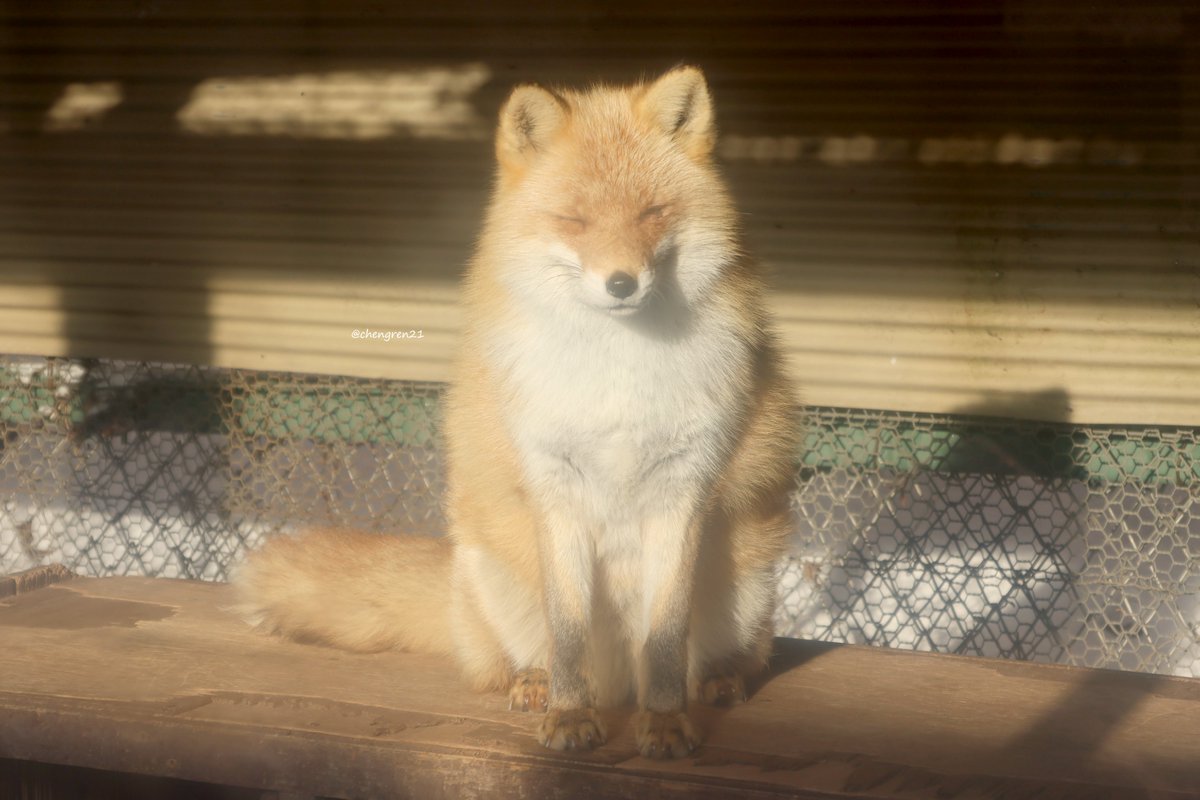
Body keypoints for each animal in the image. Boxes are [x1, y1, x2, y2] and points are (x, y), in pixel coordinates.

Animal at [236, 66, 799, 760]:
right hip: (496, 575)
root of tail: (619, 682)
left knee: (719, 659)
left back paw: (716, 683)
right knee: (521, 659)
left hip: (747, 590)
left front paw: (665, 723)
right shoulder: (554, 486)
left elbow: (666, 640)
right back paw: (535, 684)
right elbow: (567, 629)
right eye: (574, 220)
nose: (622, 283)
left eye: (652, 213)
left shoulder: (685, 489)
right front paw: (567, 717)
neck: (616, 374)